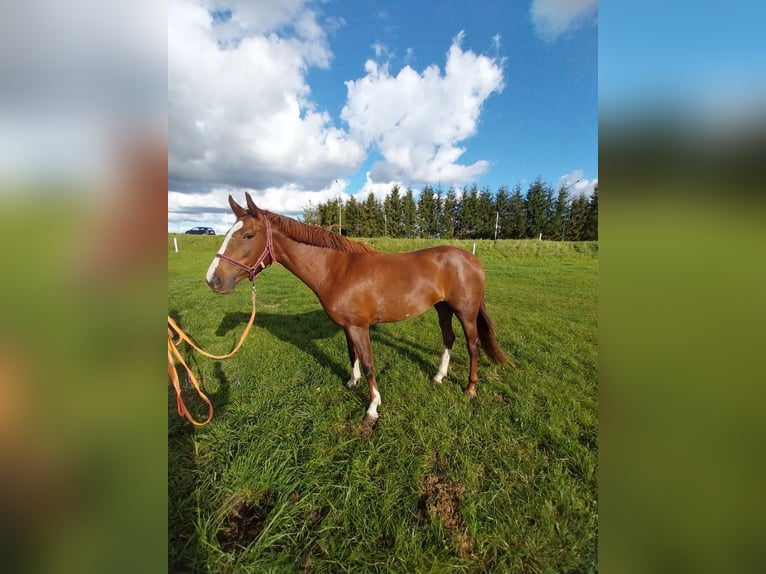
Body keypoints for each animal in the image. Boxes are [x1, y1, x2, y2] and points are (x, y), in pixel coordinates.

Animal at [206, 192, 509, 429]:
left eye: (248, 235)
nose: (213, 280)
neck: (337, 270)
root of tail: (471, 259)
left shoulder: (359, 327)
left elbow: (369, 363)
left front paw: (372, 408)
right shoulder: (347, 326)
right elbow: (352, 355)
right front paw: (352, 382)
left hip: (466, 312)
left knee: (472, 345)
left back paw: (470, 389)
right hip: (442, 309)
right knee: (449, 339)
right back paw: (438, 377)